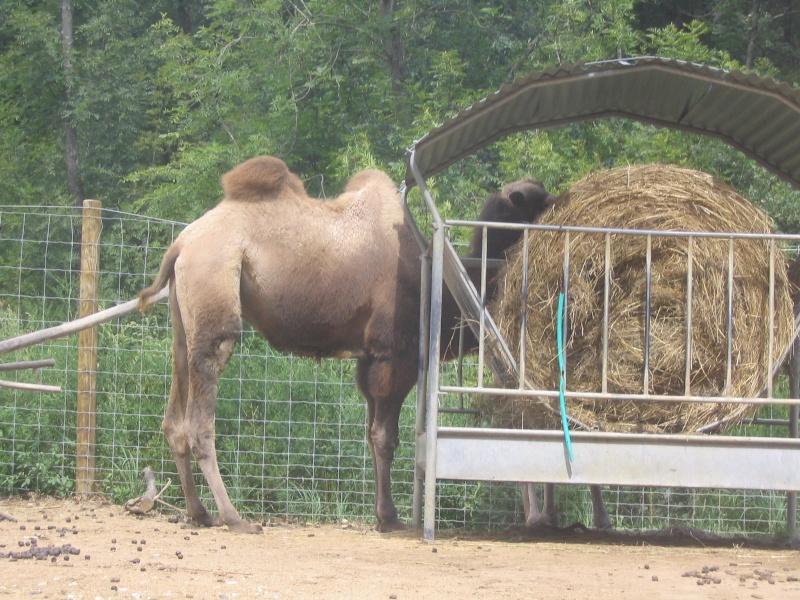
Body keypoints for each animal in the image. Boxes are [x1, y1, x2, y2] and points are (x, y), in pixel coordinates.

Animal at [141, 156, 556, 536]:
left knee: (175, 412)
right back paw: (234, 517)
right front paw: (390, 518)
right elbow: (386, 437)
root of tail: (180, 246)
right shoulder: (394, 352)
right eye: (541, 203)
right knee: (201, 408)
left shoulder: (368, 358)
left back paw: (200, 514)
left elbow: (372, 432)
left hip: (184, 315)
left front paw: (382, 514)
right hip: (215, 279)